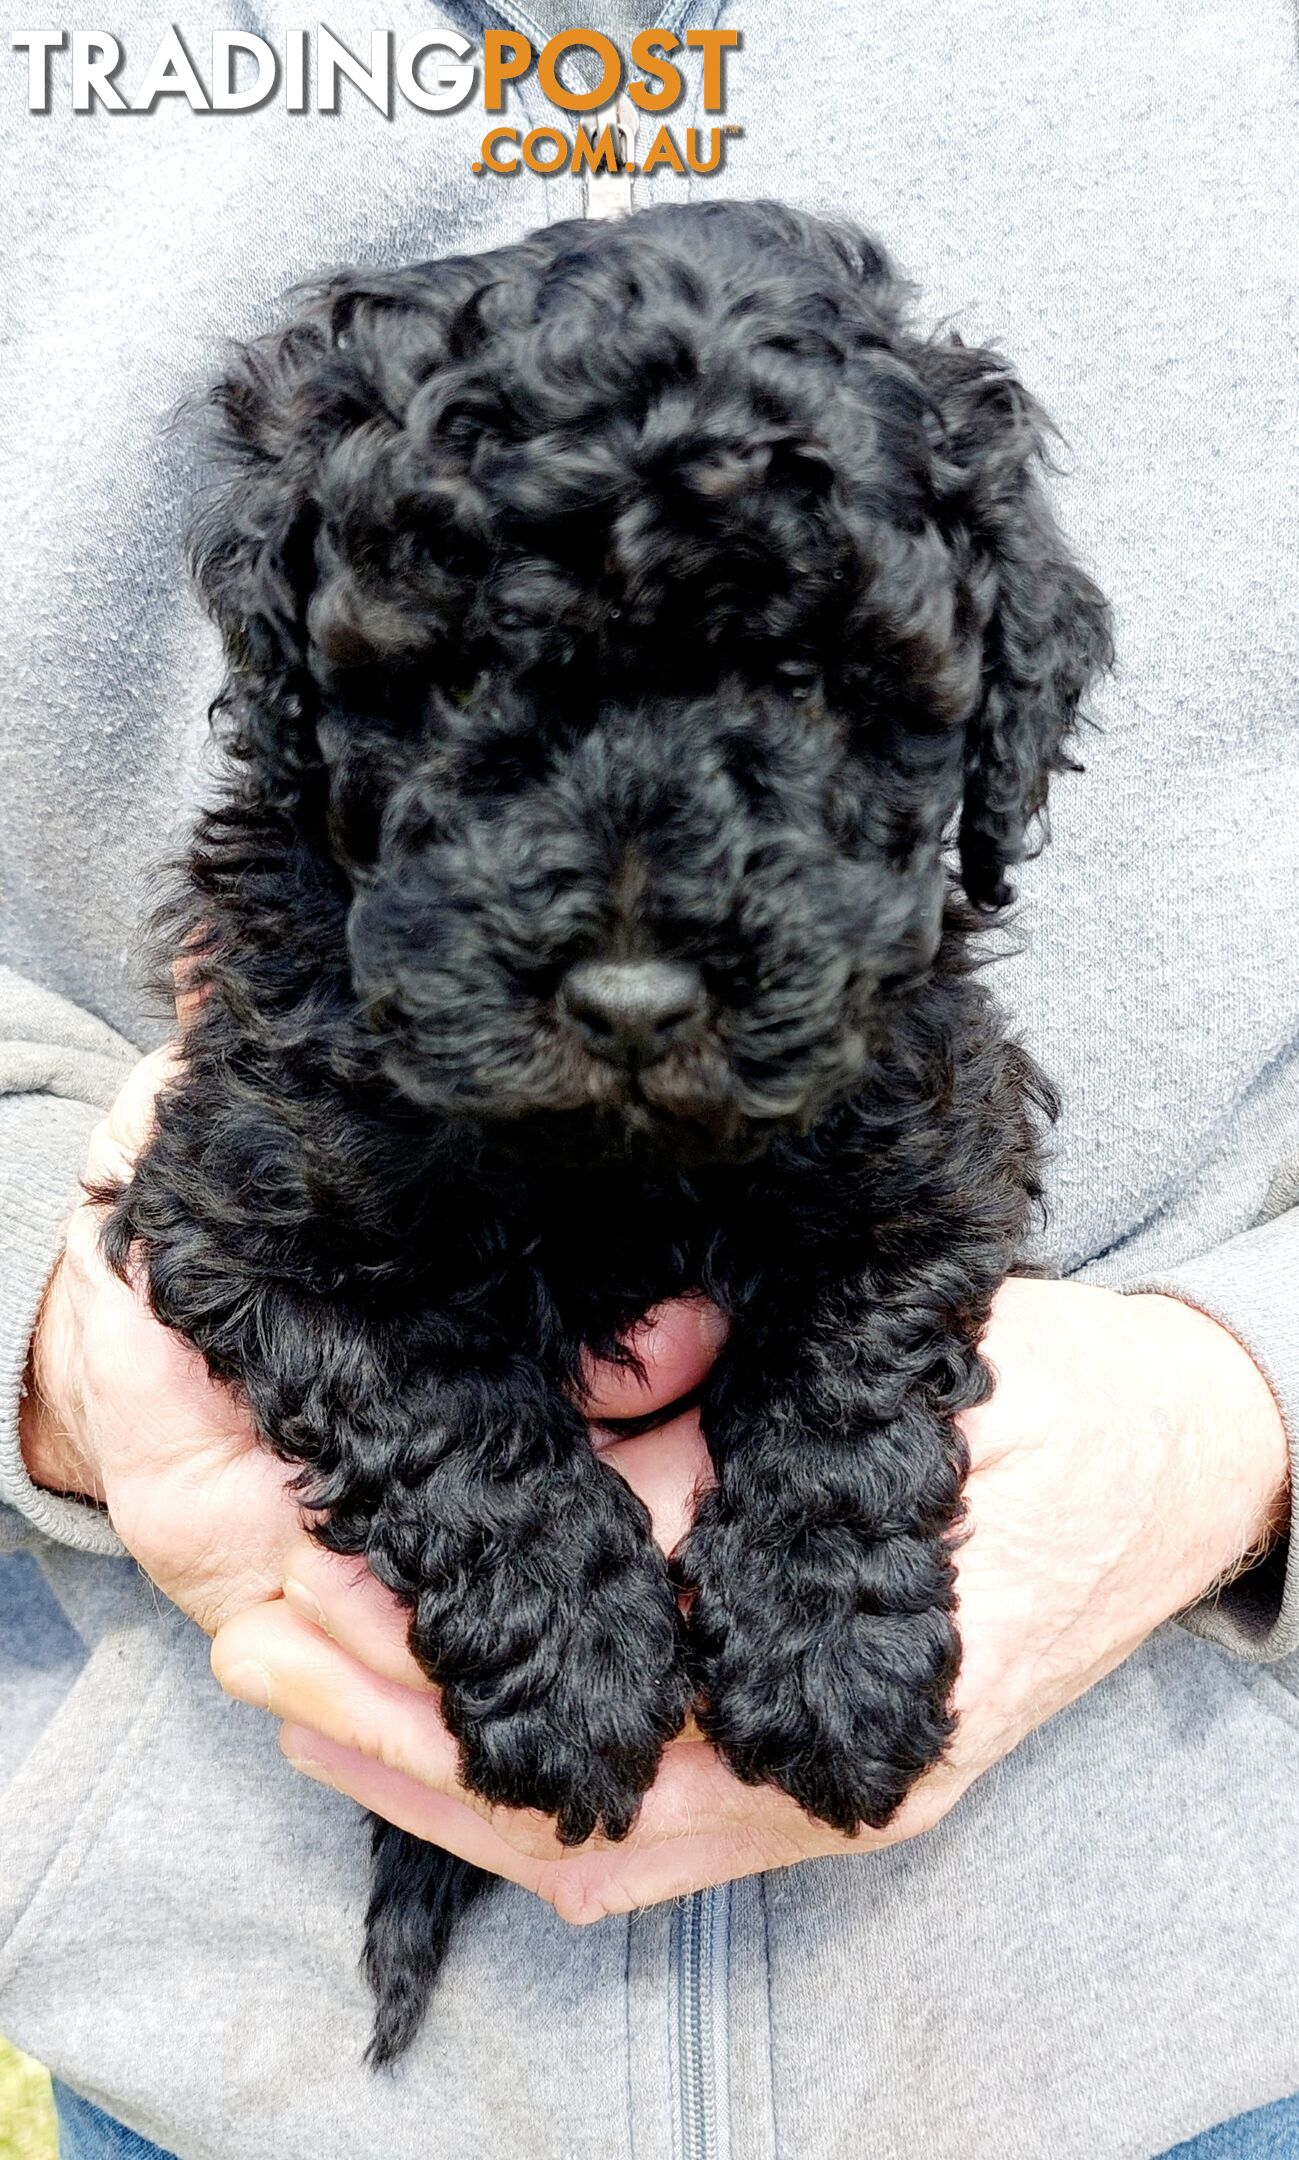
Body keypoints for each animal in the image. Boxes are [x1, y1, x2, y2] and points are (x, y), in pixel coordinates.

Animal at [106, 198, 1106, 2056]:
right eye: (462, 677)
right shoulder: (241, 1191)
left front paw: (830, 1661)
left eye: (801, 679)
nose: (635, 1000)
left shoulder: (926, 1127)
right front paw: (576, 1668)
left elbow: (847, 1373)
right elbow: (441, 1402)